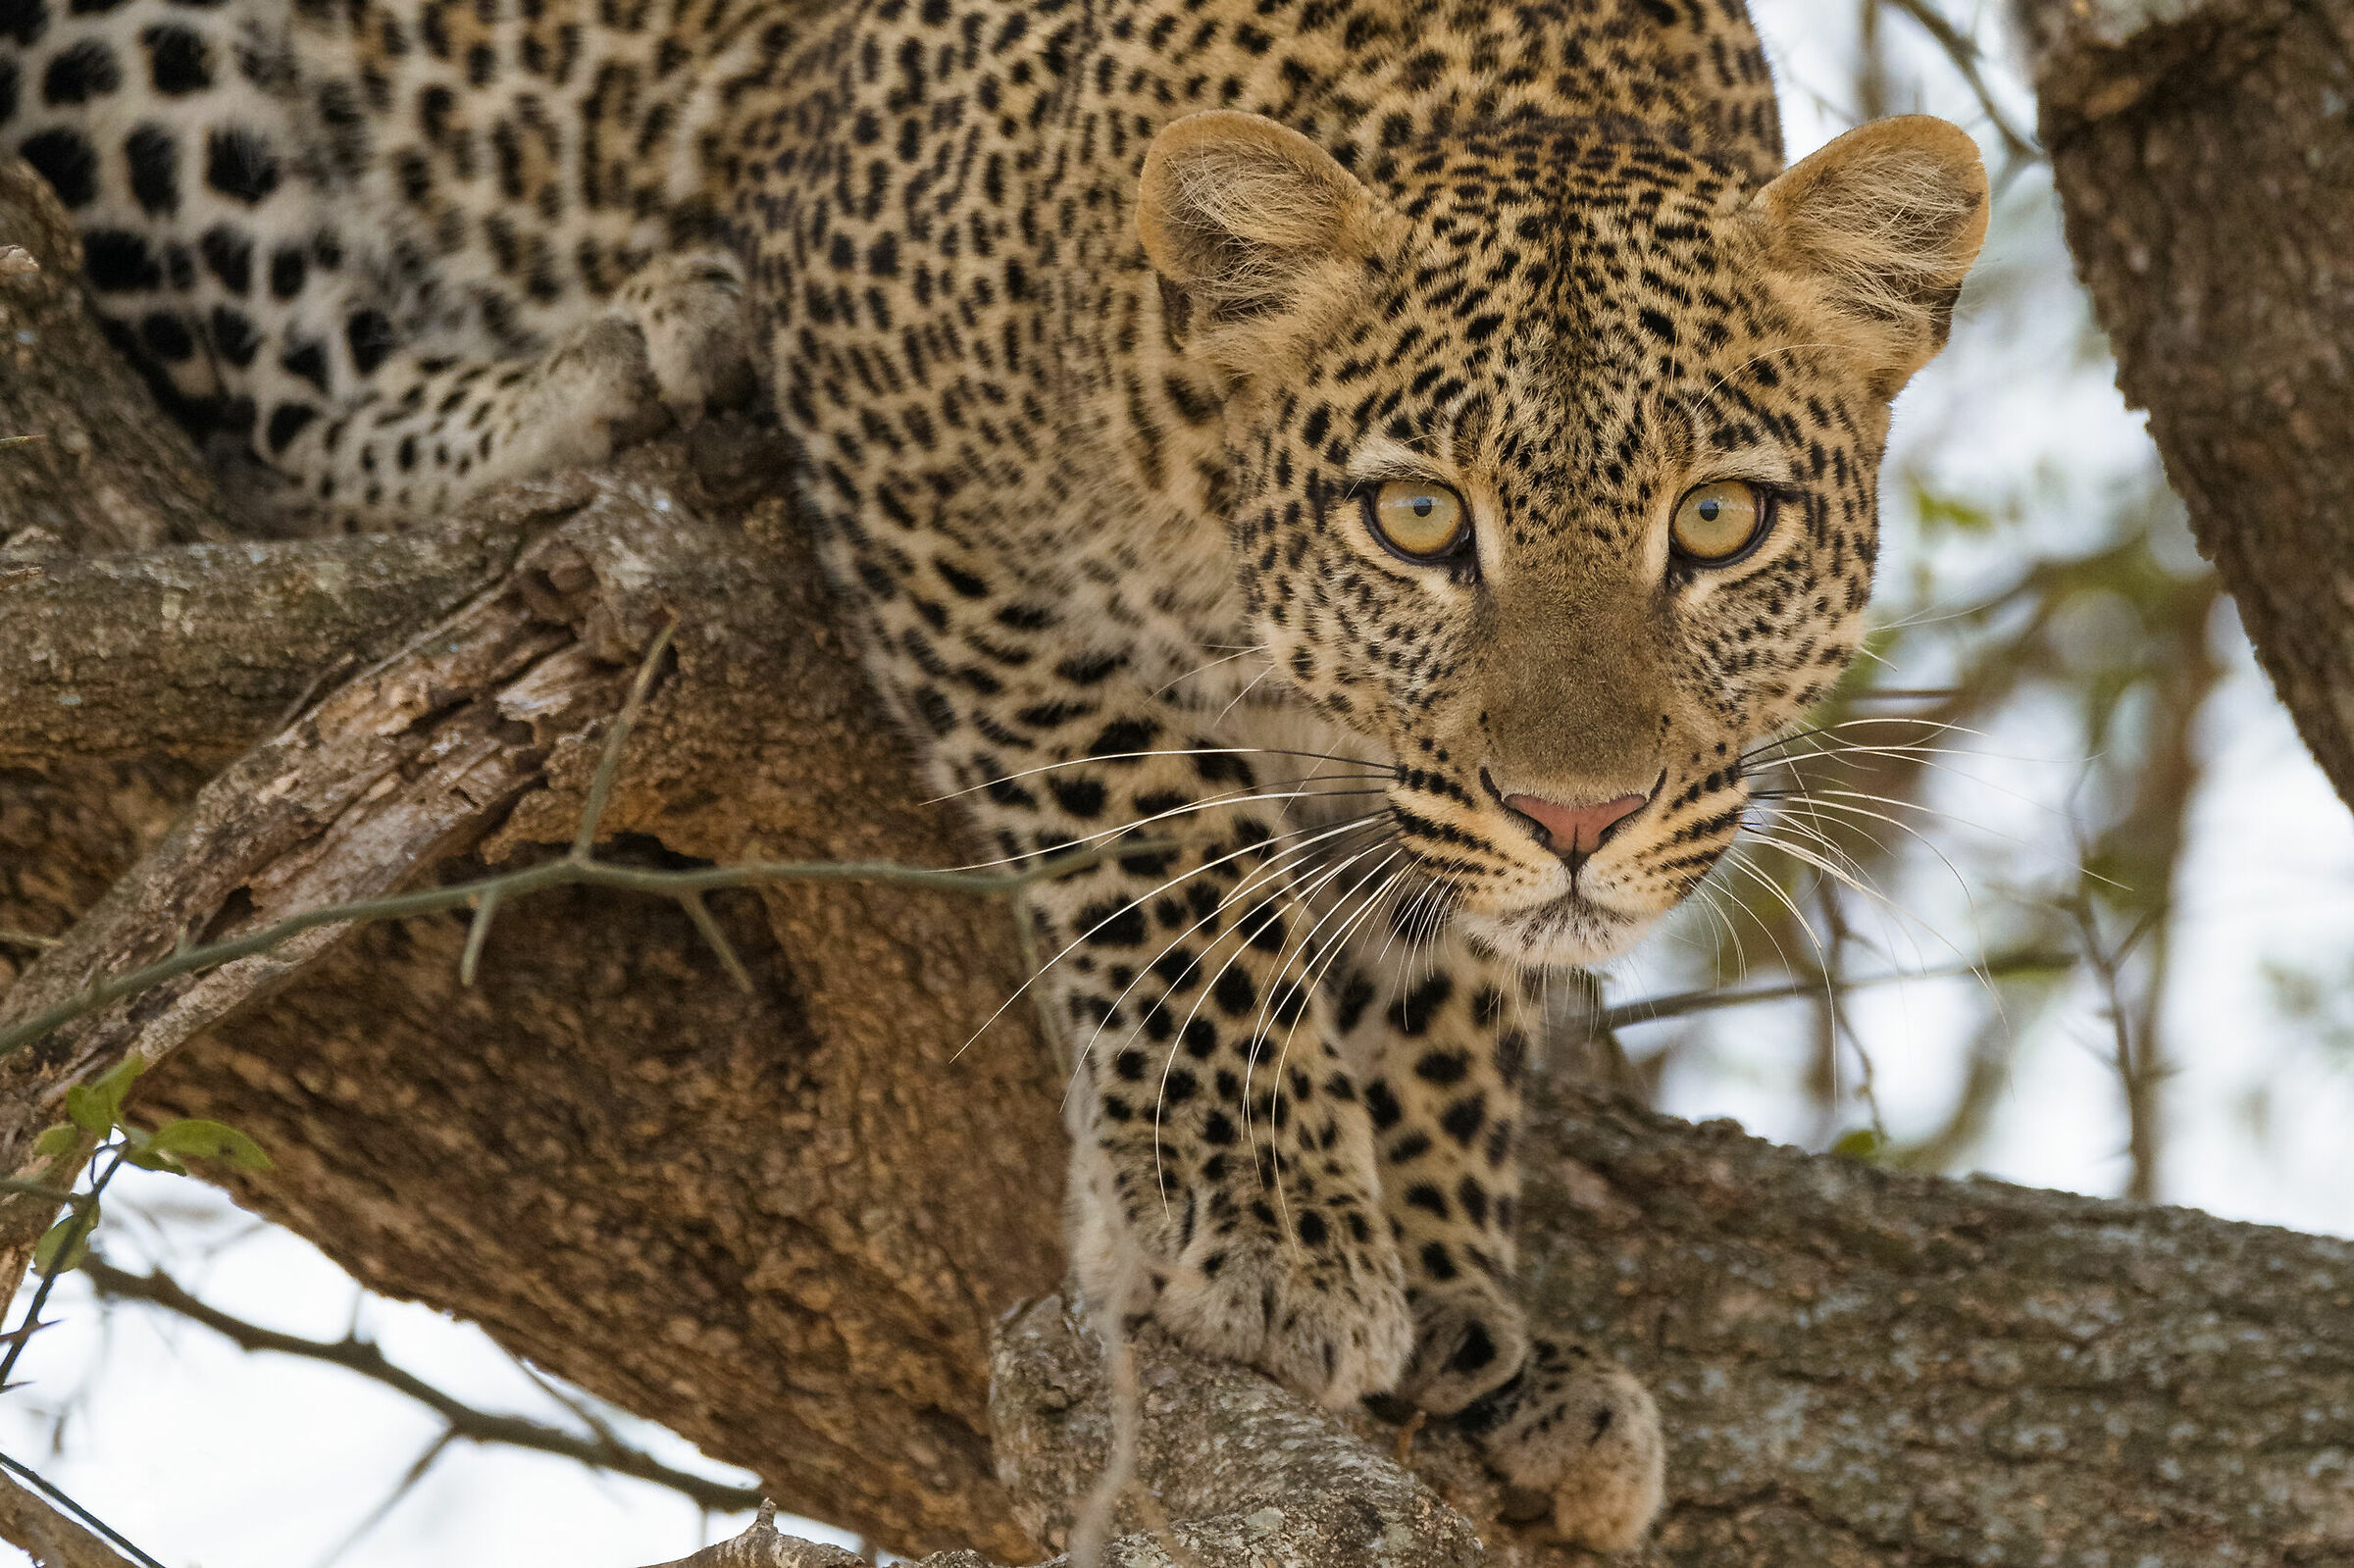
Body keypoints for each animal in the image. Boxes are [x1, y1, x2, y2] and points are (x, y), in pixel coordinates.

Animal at [2, 0, 1987, 1544]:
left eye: (1719, 522)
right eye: (1422, 519)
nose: (1580, 815)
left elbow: (1441, 958)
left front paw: (1463, 1304)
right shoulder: (910, 435)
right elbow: (1168, 838)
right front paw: (1262, 1212)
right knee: (264, 387)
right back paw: (599, 367)